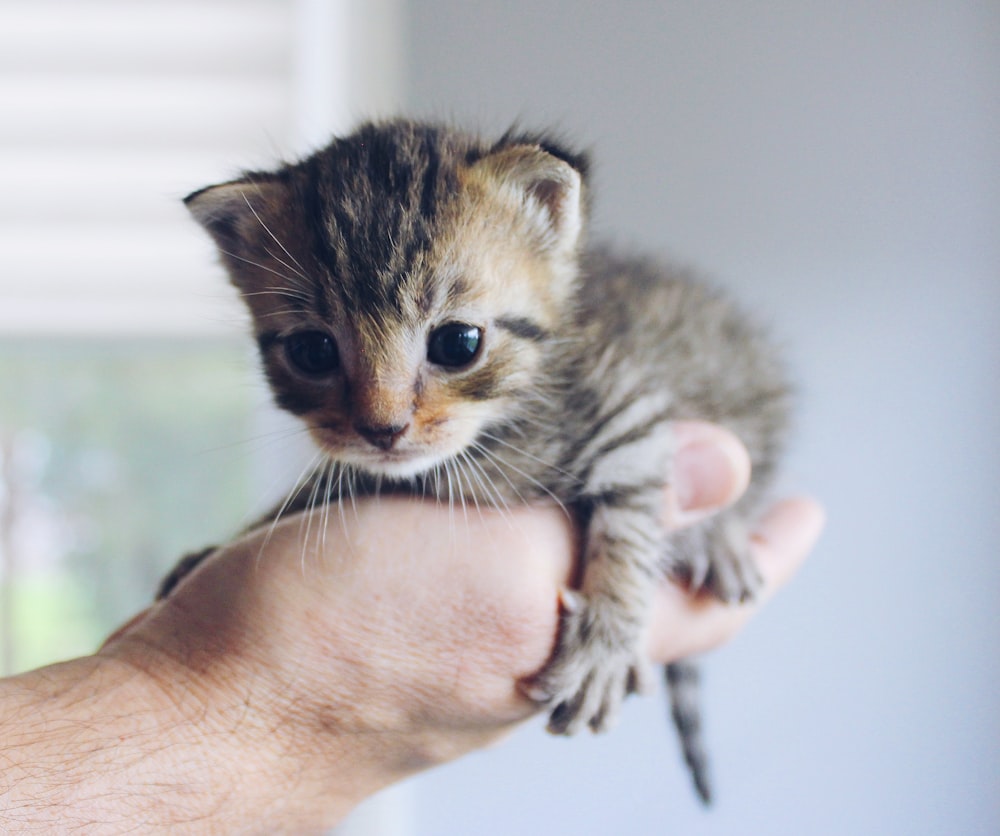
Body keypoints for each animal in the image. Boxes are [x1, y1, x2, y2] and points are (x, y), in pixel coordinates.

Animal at [162, 119, 788, 804]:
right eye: (312, 351)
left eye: (457, 343)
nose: (382, 429)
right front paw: (219, 548)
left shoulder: (630, 410)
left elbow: (630, 522)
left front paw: (603, 642)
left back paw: (718, 538)